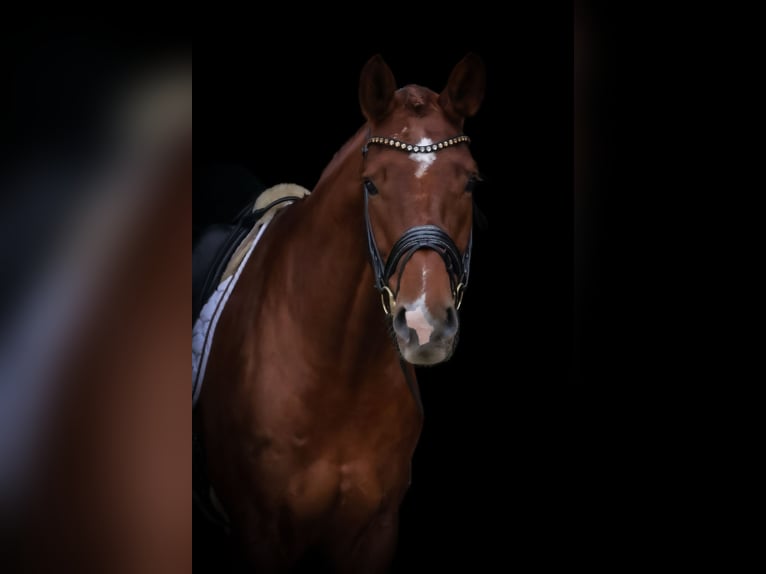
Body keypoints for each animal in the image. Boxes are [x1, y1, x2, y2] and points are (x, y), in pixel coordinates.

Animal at [196, 53, 486, 572]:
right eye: (371, 185)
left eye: (470, 181)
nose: (424, 325)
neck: (338, 371)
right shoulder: (258, 536)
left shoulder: (373, 534)